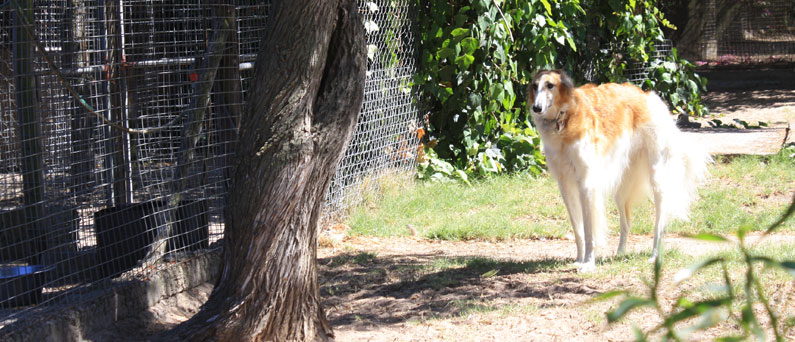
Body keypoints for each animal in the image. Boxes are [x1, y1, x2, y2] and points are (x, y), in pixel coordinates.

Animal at [528, 69, 708, 272]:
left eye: (550, 85)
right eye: (534, 86)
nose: (536, 108)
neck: (565, 116)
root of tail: (647, 96)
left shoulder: (586, 184)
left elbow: (589, 231)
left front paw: (588, 263)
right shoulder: (565, 184)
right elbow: (578, 229)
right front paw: (579, 259)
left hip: (657, 180)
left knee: (659, 225)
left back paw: (654, 256)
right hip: (621, 190)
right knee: (626, 223)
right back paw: (620, 252)